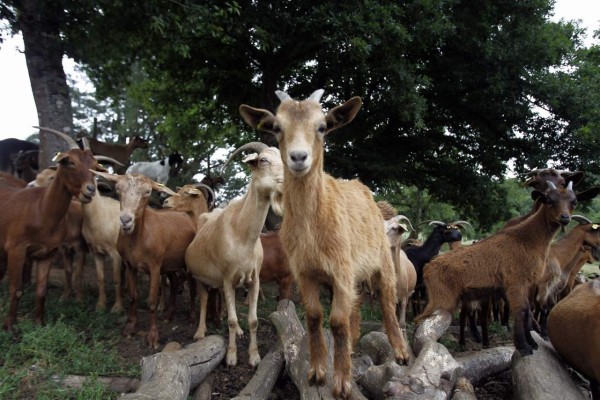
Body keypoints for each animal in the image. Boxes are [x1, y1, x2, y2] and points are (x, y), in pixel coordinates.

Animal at [0, 126, 103, 330]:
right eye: (70, 162)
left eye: (95, 166)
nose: (90, 190)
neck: (41, 210)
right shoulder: (16, 250)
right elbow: (16, 288)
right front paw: (9, 325)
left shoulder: (47, 253)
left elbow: (41, 290)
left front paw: (39, 323)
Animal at [91, 170, 195, 348]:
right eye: (118, 190)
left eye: (147, 192)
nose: (126, 220)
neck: (139, 240)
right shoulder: (130, 265)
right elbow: (133, 297)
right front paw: (130, 329)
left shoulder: (154, 266)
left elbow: (152, 301)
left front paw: (153, 337)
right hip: (170, 262)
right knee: (174, 283)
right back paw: (169, 315)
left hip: (184, 264)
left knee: (193, 289)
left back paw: (191, 317)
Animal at [183, 142, 284, 368]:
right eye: (263, 160)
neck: (242, 234)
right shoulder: (228, 278)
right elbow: (230, 319)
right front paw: (231, 357)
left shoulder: (254, 280)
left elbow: (252, 321)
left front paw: (254, 357)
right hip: (200, 277)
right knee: (204, 300)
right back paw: (200, 332)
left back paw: (237, 332)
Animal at [241, 89, 410, 398]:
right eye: (277, 127)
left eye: (322, 127)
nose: (298, 157)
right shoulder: (305, 273)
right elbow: (315, 317)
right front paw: (317, 372)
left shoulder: (341, 271)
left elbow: (337, 322)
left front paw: (341, 382)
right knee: (356, 308)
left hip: (382, 263)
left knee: (387, 303)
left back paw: (401, 352)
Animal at [418, 180, 596, 354]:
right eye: (549, 199)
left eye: (574, 201)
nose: (564, 217)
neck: (528, 239)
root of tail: (428, 267)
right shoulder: (516, 282)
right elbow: (520, 310)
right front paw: (523, 346)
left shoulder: (527, 284)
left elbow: (527, 311)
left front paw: (532, 343)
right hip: (442, 298)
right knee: (421, 321)